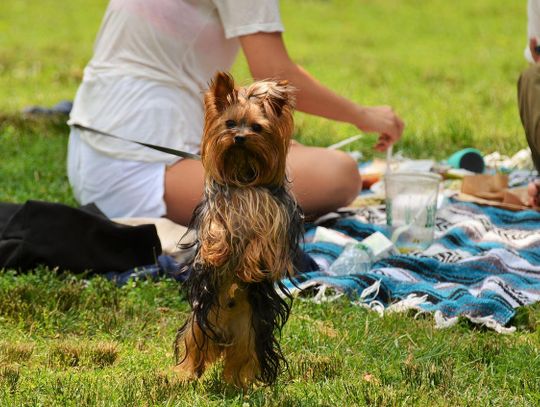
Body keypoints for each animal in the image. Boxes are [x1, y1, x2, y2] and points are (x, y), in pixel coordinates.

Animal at [176, 72, 306, 388]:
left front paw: (249, 267)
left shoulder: (275, 219)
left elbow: (262, 240)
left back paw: (237, 383)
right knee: (192, 346)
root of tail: (223, 331)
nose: (239, 138)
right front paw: (215, 252)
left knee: (244, 358)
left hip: (252, 331)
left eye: (257, 127)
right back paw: (186, 374)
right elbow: (216, 229)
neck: (244, 176)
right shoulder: (216, 209)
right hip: (199, 321)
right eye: (230, 123)